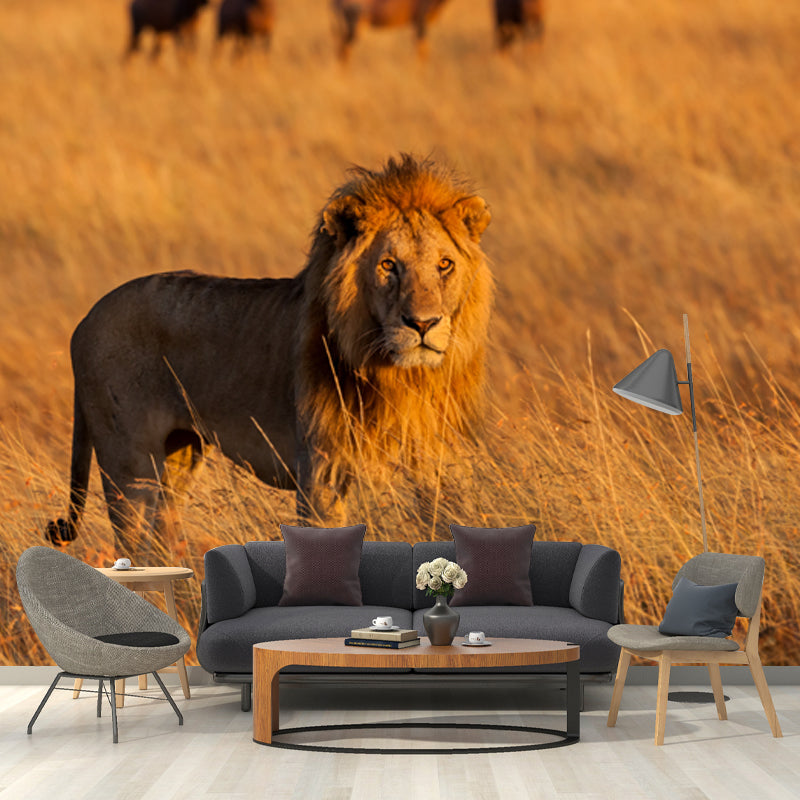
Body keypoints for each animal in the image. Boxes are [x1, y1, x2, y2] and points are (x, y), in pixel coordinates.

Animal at [46, 154, 493, 557]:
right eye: (389, 265)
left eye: (445, 264)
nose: (423, 323)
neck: (402, 377)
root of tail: (85, 320)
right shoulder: (321, 476)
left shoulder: (438, 467)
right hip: (129, 467)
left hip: (177, 458)